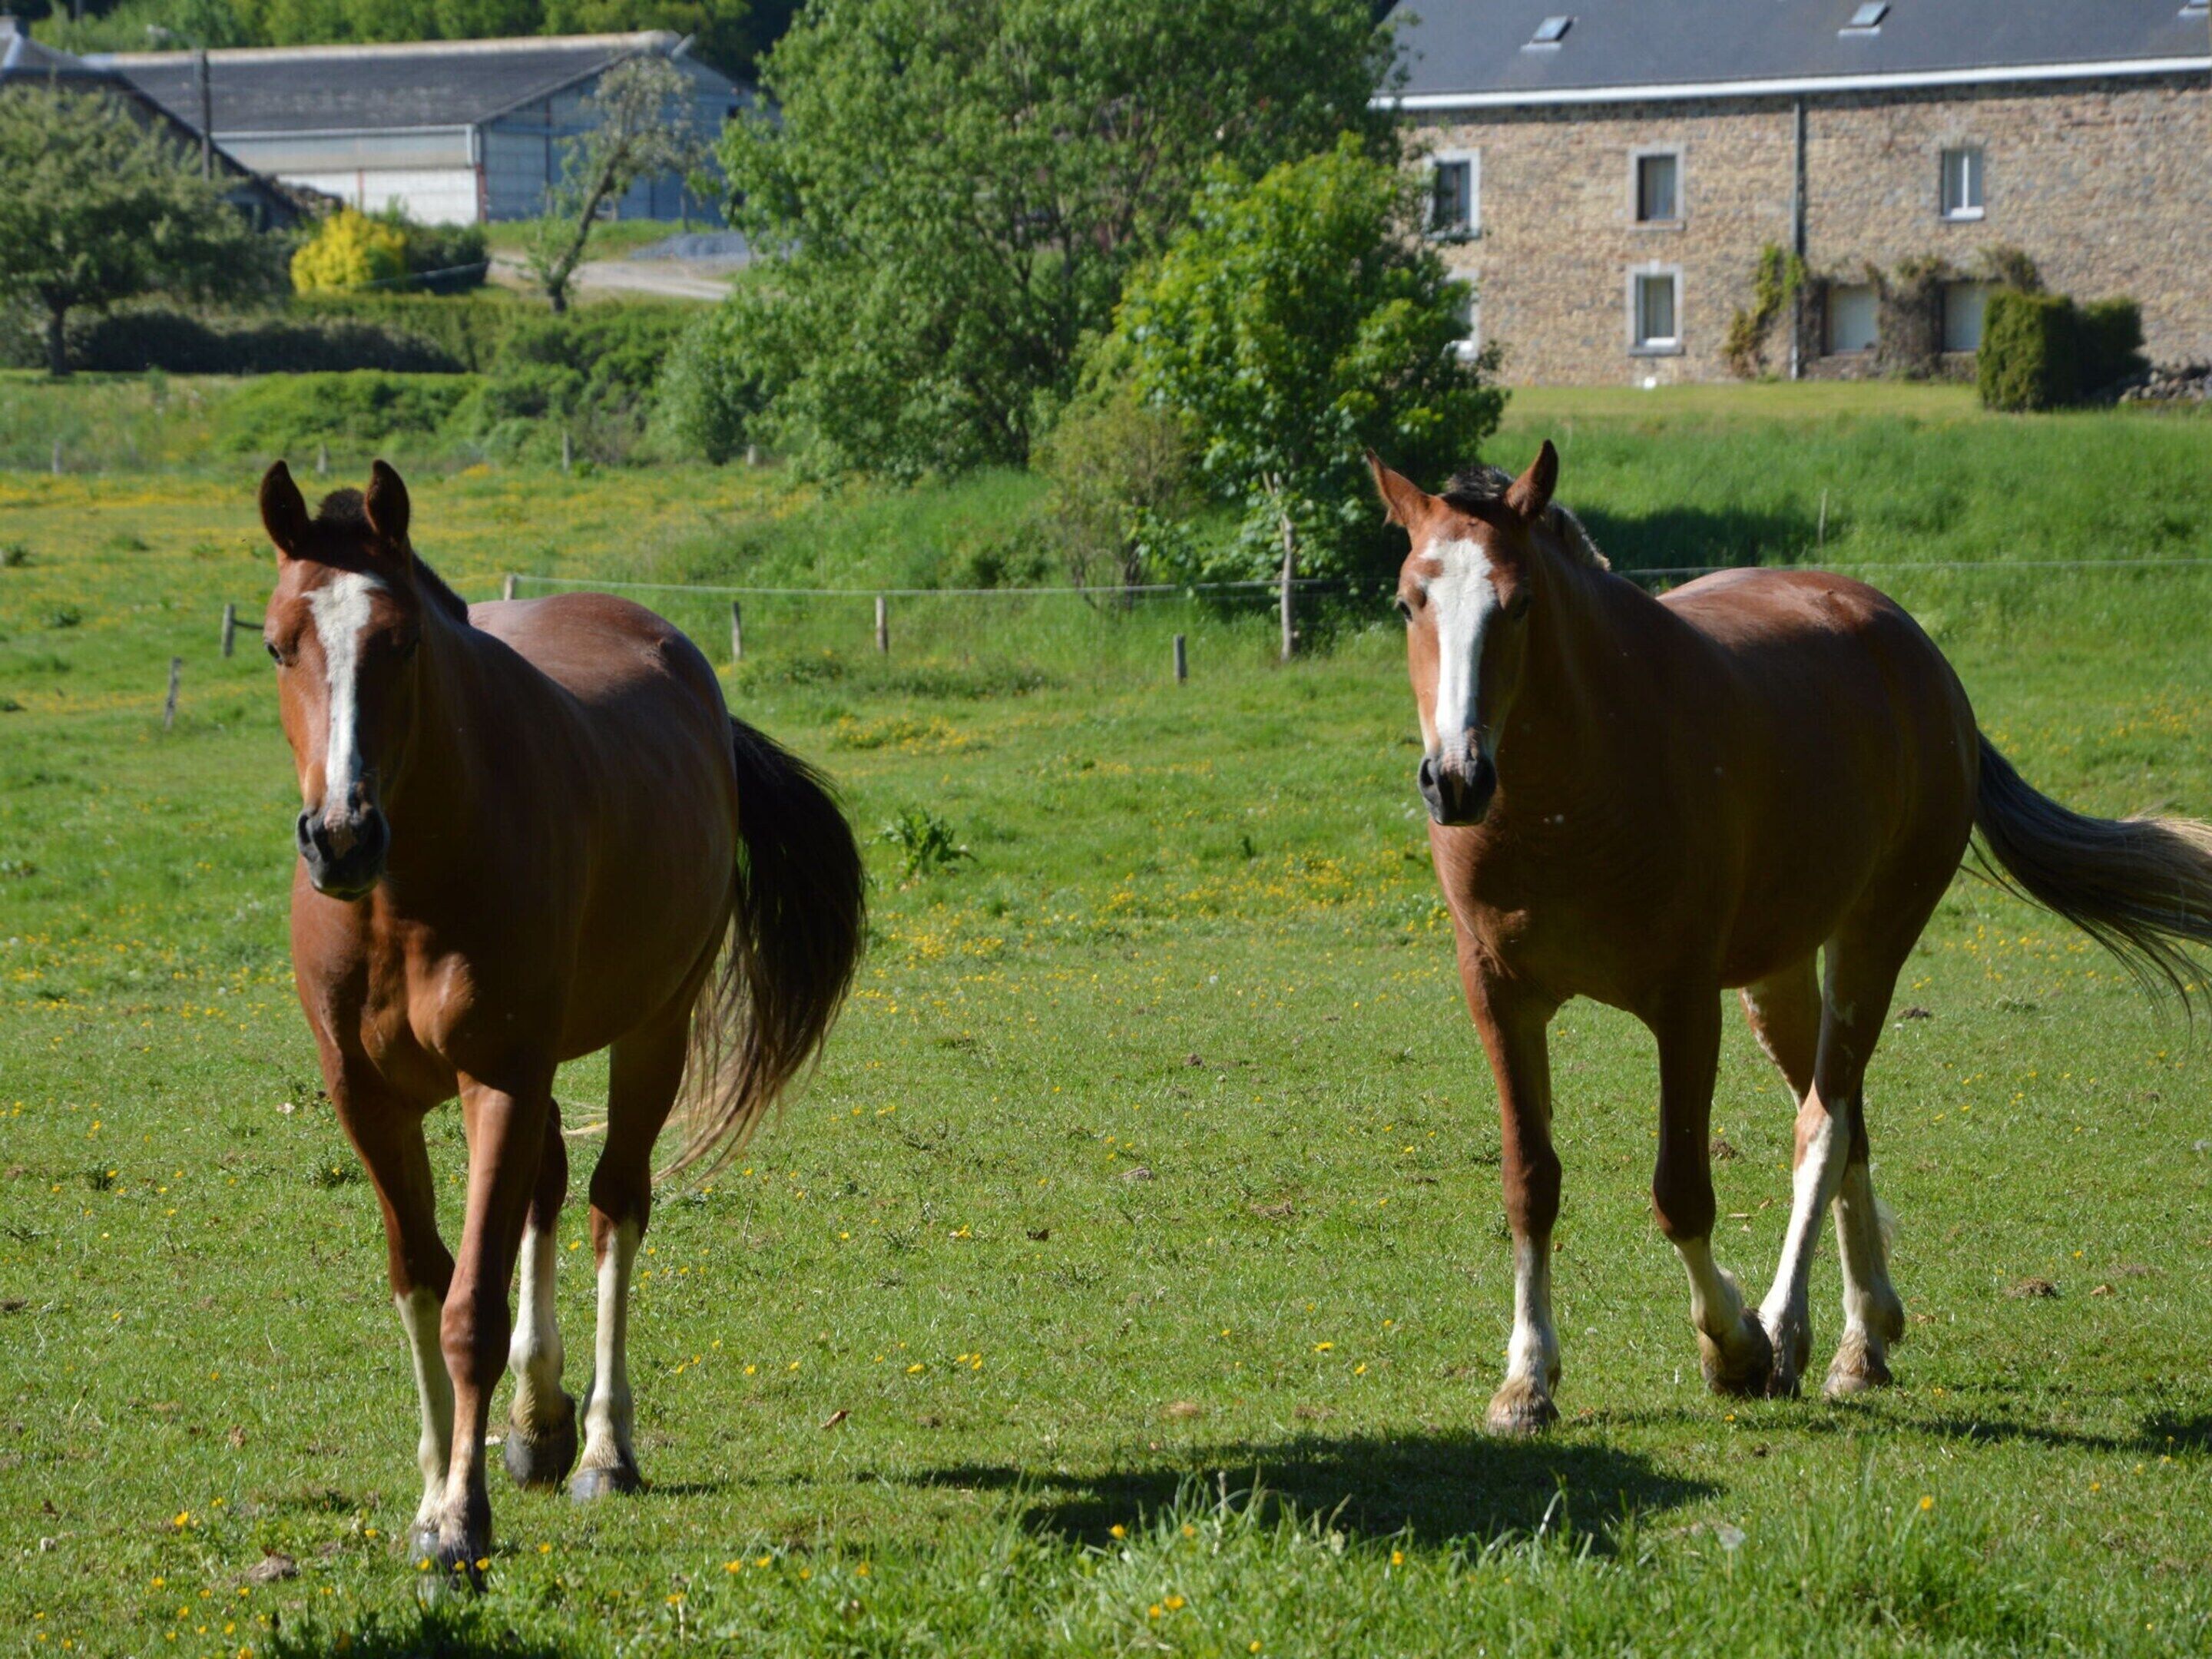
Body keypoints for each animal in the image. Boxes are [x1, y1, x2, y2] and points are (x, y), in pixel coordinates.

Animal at [257, 461, 865, 1579]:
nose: (341, 836)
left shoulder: (499, 1073)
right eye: (279, 644)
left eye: (402, 641)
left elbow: (472, 1309)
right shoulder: (366, 1099)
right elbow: (421, 1280)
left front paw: (461, 1522)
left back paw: (600, 1451)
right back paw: (535, 1425)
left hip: (653, 1032)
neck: (404, 894)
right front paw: (434, 1491)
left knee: (611, 1205)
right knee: (546, 1187)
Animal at [1368, 442, 2212, 1434]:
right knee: (1851, 1125)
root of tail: (1914, 647)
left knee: (1824, 1126)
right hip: (1777, 978)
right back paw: (1866, 1338)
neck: (1569, 794)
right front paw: (1526, 1382)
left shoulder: (1684, 1003)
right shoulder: (1500, 996)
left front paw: (1733, 1345)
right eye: (1410, 602)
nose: (1455, 779)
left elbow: (1682, 1193)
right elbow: (1530, 1184)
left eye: (1521, 600)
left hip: (1871, 943)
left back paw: (1798, 1332)